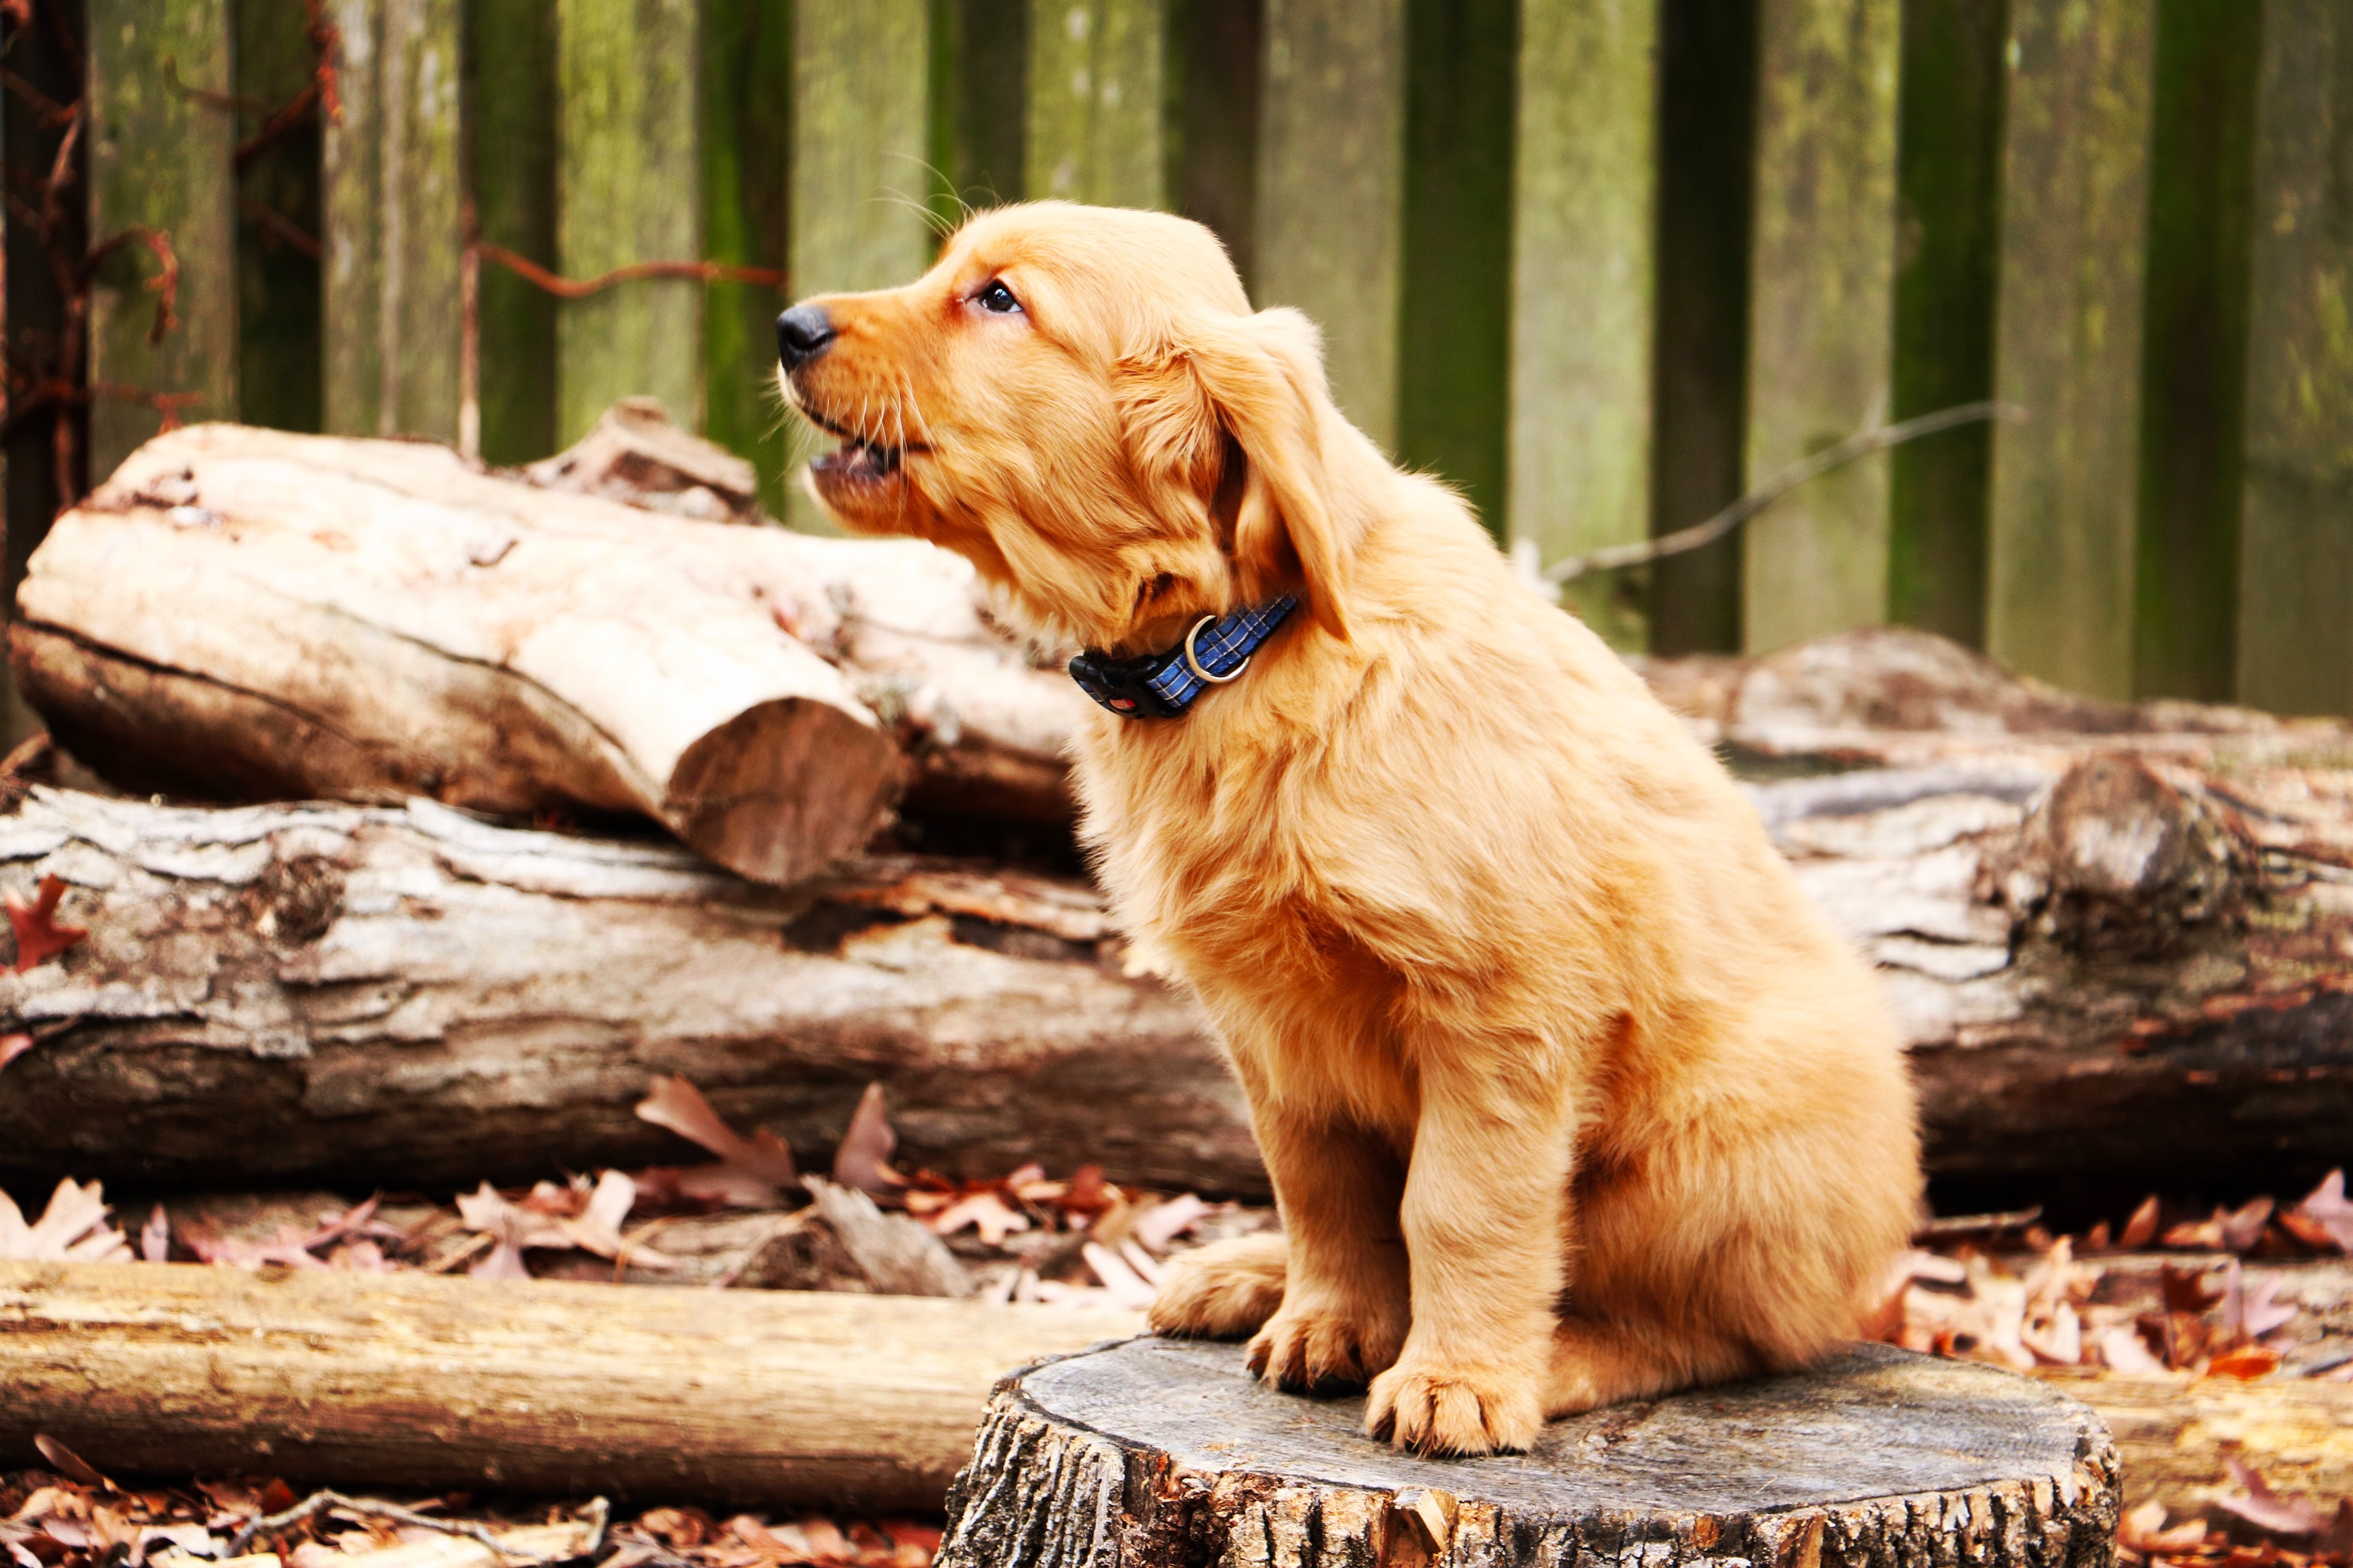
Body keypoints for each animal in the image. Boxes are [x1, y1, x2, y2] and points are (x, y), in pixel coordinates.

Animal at [781, 199, 1920, 1457]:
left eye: (998, 300)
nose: (789, 326)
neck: (1236, 648)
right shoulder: (1273, 1028)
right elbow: (1320, 1188)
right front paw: (1327, 1319)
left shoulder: (1498, 1009)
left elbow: (1458, 1206)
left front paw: (1456, 1380)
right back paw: (1245, 1275)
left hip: (1714, 1148)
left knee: (1723, 1334)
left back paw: (1559, 1359)